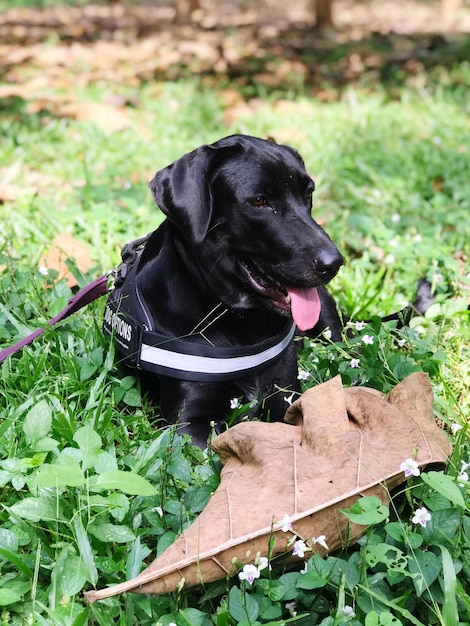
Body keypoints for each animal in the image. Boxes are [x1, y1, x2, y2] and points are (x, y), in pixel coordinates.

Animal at [105, 135, 346, 446]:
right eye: (259, 200)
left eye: (309, 193)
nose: (333, 263)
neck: (241, 324)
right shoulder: (188, 424)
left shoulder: (287, 397)